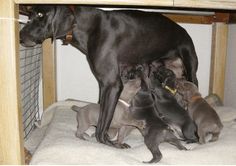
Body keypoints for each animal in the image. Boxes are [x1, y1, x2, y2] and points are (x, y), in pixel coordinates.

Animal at [20, 5, 198, 148]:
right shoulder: (103, 84)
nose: (20, 37)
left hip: (190, 69)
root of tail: (184, 30)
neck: (87, 26)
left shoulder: (112, 84)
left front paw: (107, 142)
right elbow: (100, 112)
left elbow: (103, 123)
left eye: (41, 15)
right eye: (29, 15)